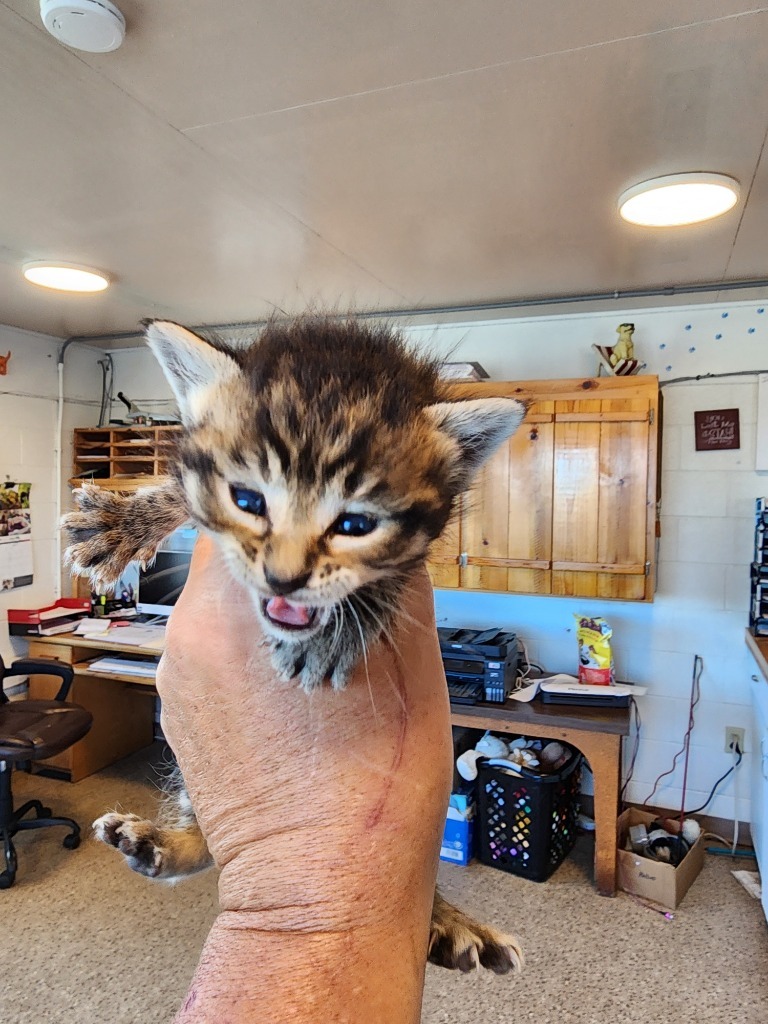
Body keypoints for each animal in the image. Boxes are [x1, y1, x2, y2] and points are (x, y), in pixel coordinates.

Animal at [64, 315, 528, 970]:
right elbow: (179, 487)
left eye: (355, 524)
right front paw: (121, 523)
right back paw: (160, 845)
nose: (283, 579)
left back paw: (451, 925)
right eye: (248, 500)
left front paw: (337, 632)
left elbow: (391, 576)